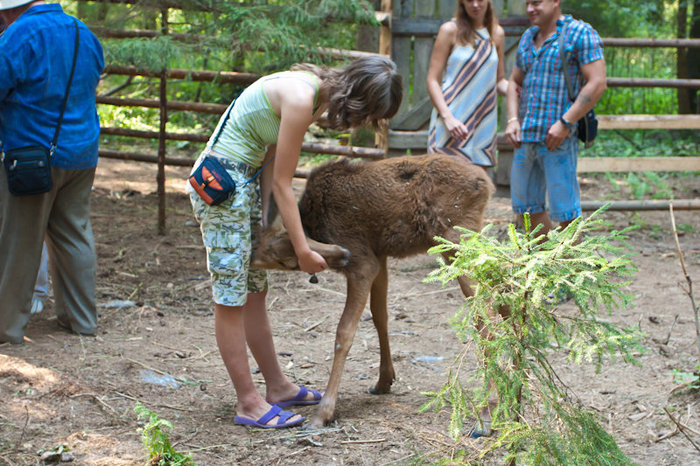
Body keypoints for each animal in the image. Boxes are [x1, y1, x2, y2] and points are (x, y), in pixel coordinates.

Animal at [250, 152, 492, 426]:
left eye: (286, 262)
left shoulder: (364, 264)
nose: (250, 256)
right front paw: (384, 380)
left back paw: (487, 411)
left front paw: (324, 411)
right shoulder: (380, 257)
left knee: (486, 314)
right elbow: (380, 316)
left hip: (456, 242)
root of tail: (486, 183)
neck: (314, 225)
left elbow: (344, 332)